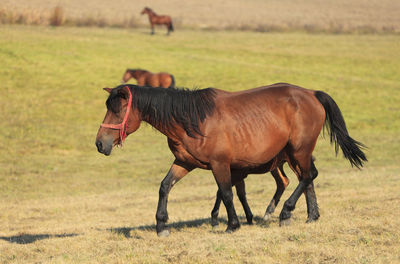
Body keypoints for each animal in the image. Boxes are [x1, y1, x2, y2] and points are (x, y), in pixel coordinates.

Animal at [95, 83, 368, 236]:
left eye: (118, 109)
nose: (100, 143)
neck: (193, 119)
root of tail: (311, 93)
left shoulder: (221, 165)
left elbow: (226, 193)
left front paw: (232, 224)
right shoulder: (185, 163)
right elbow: (164, 187)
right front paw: (162, 226)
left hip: (298, 150)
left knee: (308, 176)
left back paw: (285, 213)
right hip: (295, 154)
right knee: (307, 178)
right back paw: (311, 216)